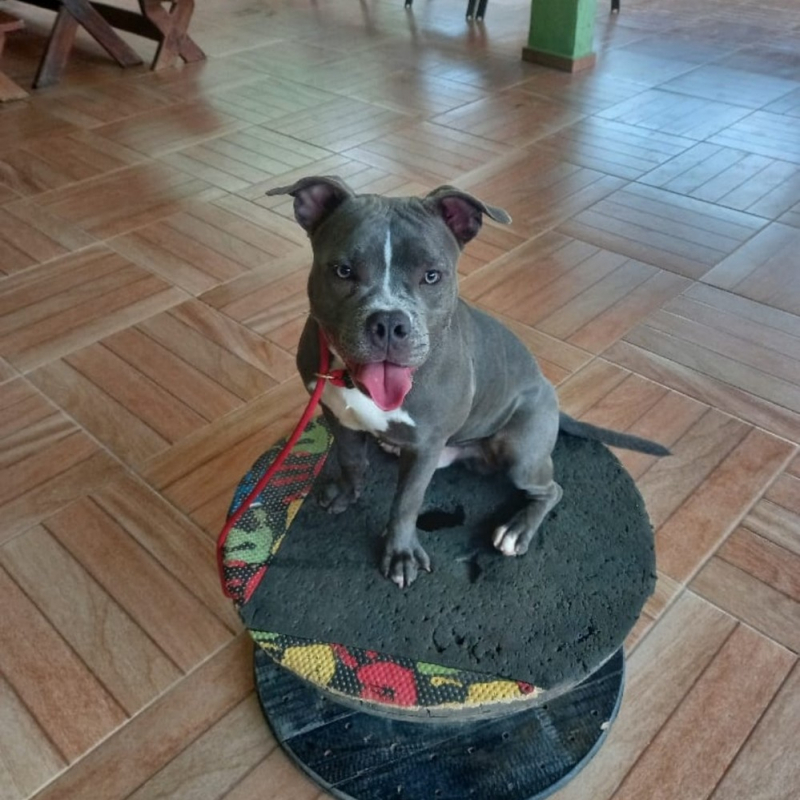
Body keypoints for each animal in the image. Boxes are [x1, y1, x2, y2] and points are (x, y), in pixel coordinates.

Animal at [268, 177, 668, 588]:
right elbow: (350, 460)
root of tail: (550, 393)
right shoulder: (338, 415)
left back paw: (516, 530)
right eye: (344, 271)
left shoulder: (426, 446)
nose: (389, 323)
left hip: (521, 453)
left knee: (551, 489)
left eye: (432, 275)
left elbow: (406, 504)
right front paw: (347, 494)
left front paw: (400, 554)